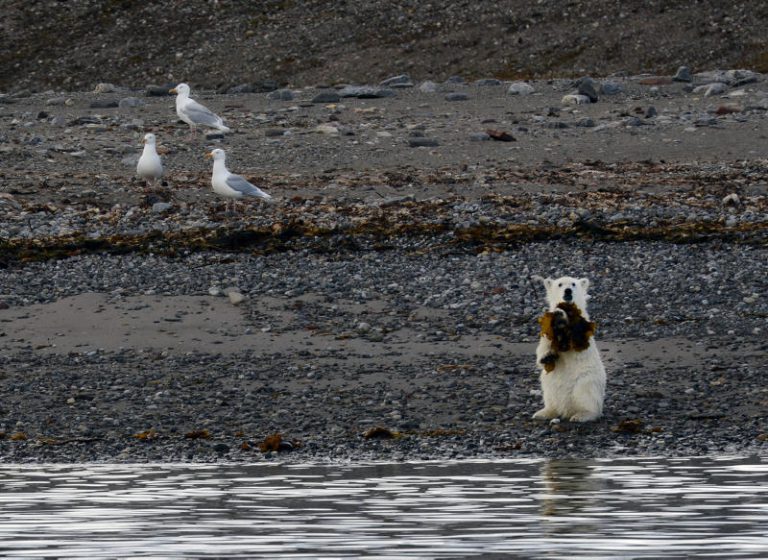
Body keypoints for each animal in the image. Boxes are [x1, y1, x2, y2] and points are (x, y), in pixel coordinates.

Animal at [531, 275, 606, 422]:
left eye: (573, 284)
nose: (568, 291)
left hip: (587, 379)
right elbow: (542, 348)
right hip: (549, 381)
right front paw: (547, 356)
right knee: (550, 393)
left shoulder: (584, 329)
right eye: (560, 284)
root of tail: (567, 409)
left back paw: (582, 415)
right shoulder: (546, 331)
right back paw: (543, 412)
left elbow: (578, 344)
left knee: (586, 394)